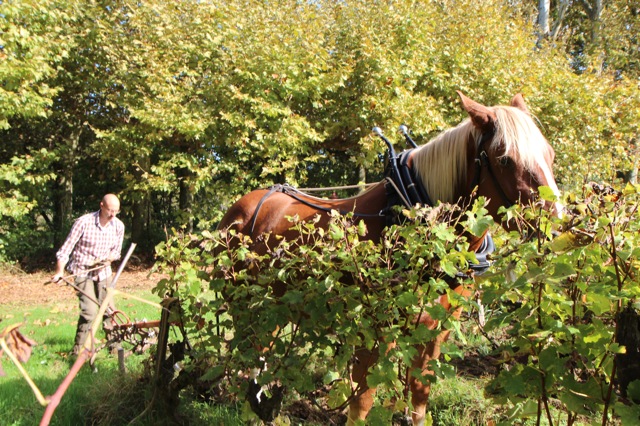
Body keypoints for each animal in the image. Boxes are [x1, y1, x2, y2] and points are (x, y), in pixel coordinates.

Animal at [218, 91, 564, 424]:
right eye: (504, 159)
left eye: (550, 155)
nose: (556, 226)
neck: (407, 216)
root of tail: (242, 207)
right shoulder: (373, 330)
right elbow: (362, 403)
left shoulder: (434, 332)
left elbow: (419, 399)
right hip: (243, 301)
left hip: (274, 306)